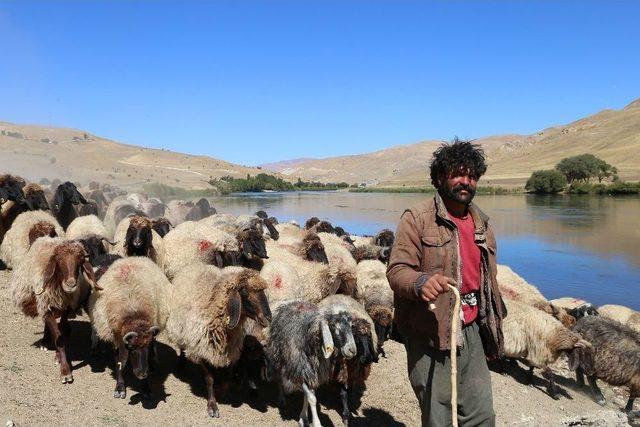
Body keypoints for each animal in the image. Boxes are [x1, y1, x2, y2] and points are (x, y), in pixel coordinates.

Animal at [10, 237, 100, 384]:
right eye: (59, 260)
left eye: (80, 260)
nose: (71, 284)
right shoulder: (47, 307)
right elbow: (59, 339)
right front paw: (65, 372)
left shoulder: (66, 308)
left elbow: (61, 333)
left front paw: (58, 357)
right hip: (43, 303)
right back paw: (45, 341)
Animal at [89, 256, 172, 400]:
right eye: (132, 349)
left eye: (147, 348)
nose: (142, 374)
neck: (134, 315)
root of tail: (134, 257)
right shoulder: (117, 338)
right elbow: (120, 362)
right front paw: (120, 387)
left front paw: (146, 388)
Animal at [165, 266, 272, 420]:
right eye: (244, 292)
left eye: (263, 292)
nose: (268, 318)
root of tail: (194, 266)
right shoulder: (202, 351)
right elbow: (209, 379)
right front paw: (212, 405)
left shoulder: (230, 353)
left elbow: (226, 381)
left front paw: (220, 390)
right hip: (181, 330)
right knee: (182, 347)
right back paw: (181, 361)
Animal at [318, 296, 378, 426]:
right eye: (356, 338)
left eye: (369, 337)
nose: (367, 358)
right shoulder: (342, 371)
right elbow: (344, 394)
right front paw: (345, 415)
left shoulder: (351, 374)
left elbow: (348, 392)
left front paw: (347, 409)